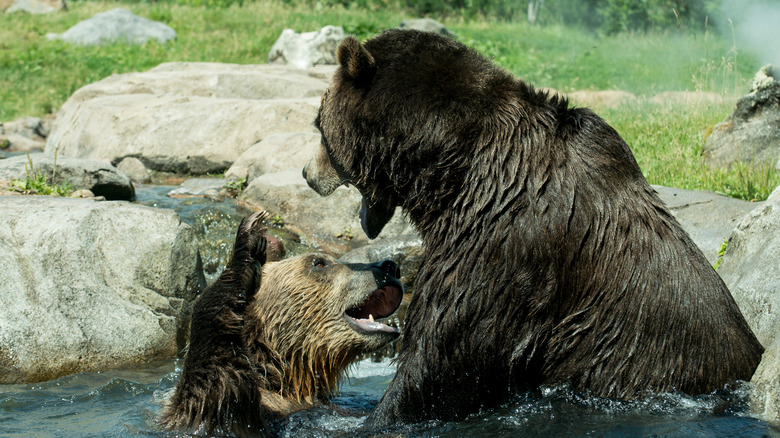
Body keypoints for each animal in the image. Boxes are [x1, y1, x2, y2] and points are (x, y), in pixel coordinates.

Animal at [302, 30, 764, 428]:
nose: (307, 174)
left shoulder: (504, 240)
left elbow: (449, 352)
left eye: (318, 124)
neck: (450, 165)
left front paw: (377, 415)